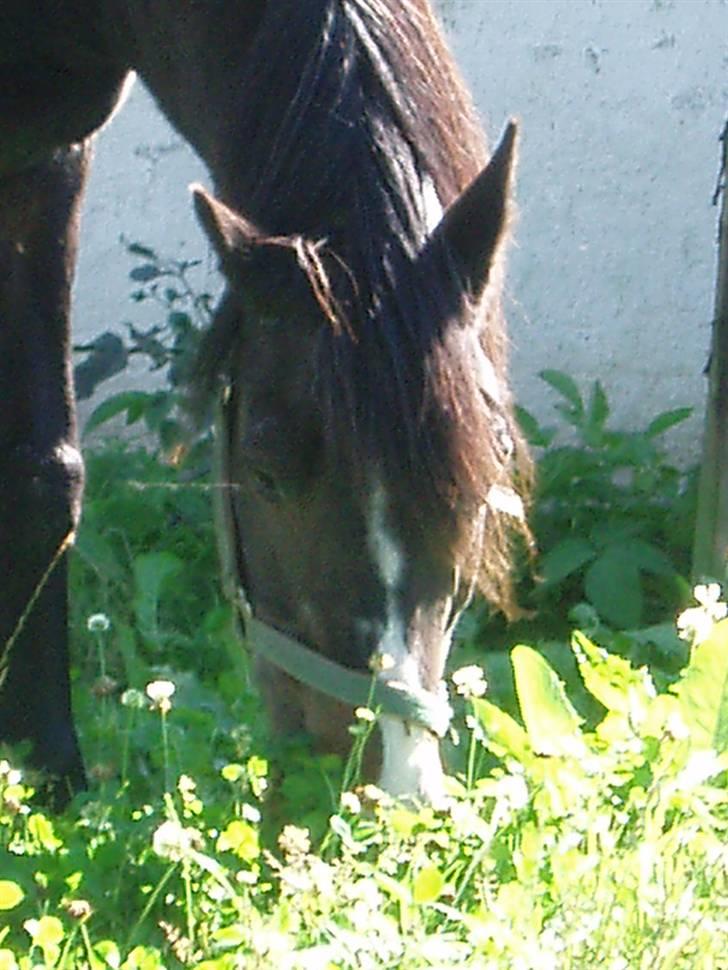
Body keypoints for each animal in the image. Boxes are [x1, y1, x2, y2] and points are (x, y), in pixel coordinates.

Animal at [0, 0, 528, 800]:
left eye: (482, 476)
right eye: (265, 470)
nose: (393, 780)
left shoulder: (46, 157)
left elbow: (43, 477)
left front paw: (51, 777)